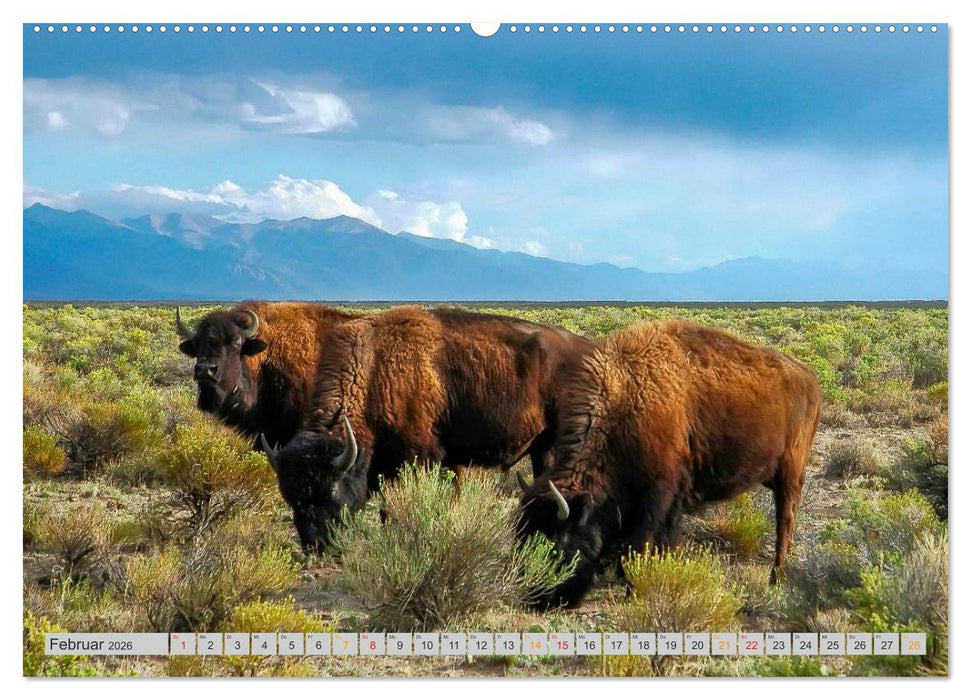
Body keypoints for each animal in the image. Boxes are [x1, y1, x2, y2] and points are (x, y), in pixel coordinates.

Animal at [262, 305, 594, 552]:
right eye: (290, 496)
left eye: (331, 490)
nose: (315, 545)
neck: (376, 368)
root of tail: (588, 348)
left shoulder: (420, 457)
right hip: (543, 446)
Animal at [517, 320, 822, 608]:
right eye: (520, 533)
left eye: (555, 542)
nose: (536, 598)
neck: (627, 396)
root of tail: (810, 378)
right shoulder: (671, 500)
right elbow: (665, 540)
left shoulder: (658, 494)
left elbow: (643, 543)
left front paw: (634, 589)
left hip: (790, 475)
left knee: (785, 522)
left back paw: (776, 578)